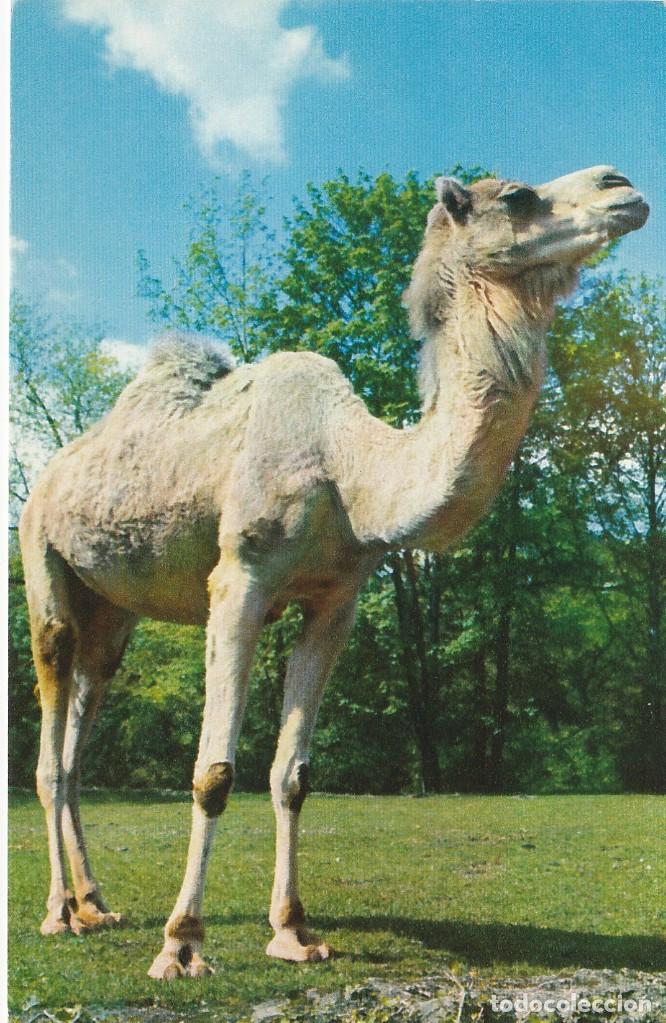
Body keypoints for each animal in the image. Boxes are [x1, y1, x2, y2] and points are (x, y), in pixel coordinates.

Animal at [19, 165, 648, 978]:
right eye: (516, 198)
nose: (621, 185)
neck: (350, 467)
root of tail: (49, 475)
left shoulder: (335, 600)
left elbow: (294, 774)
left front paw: (293, 932)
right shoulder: (240, 580)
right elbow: (214, 772)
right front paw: (182, 943)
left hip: (113, 613)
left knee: (80, 734)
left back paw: (97, 903)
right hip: (42, 559)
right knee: (49, 737)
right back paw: (58, 914)